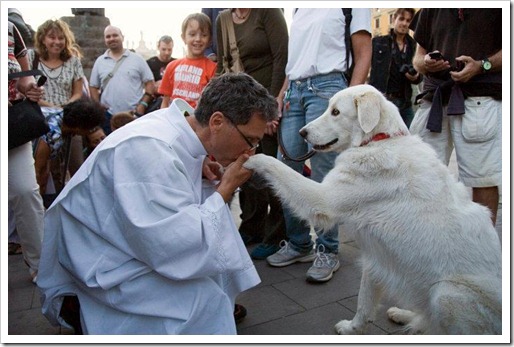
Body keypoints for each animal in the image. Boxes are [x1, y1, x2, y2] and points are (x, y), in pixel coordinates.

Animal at [244, 84, 500, 334]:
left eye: (335, 112)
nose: (301, 133)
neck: (379, 140)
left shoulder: (323, 200)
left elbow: (278, 167)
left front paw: (251, 159)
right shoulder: (376, 256)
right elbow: (364, 301)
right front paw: (352, 328)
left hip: (446, 294)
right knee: (425, 319)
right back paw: (404, 315)